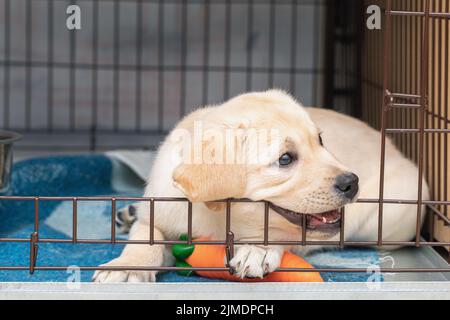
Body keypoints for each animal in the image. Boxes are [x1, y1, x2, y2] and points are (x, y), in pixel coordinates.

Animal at [92, 89, 428, 282]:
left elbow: (280, 233)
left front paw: (258, 249)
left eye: (320, 141)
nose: (352, 182)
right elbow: (145, 237)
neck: (221, 219)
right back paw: (129, 213)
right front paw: (127, 267)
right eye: (285, 159)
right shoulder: (160, 210)